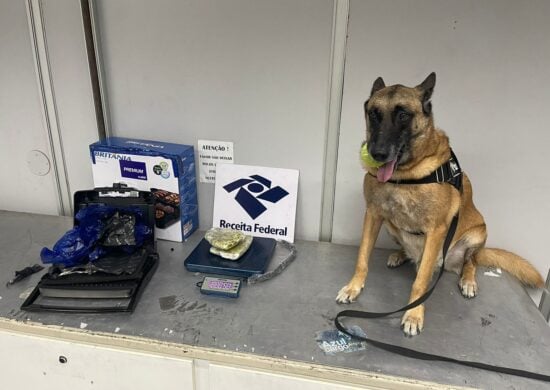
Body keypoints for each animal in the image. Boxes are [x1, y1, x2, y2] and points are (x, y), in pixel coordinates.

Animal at [338, 74, 544, 336]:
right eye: (374, 114)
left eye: (403, 115)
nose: (377, 154)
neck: (406, 175)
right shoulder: (373, 215)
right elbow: (362, 258)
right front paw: (353, 287)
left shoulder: (436, 230)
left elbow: (420, 283)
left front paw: (413, 315)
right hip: (392, 228)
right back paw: (400, 255)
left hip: (477, 234)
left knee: (470, 262)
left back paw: (467, 281)